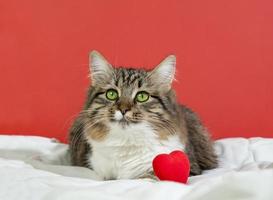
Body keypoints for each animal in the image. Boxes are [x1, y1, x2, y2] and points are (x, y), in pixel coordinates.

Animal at [68, 50, 217, 180]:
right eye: (111, 94)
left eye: (142, 96)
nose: (123, 109)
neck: (126, 142)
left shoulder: (188, 167)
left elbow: (147, 177)